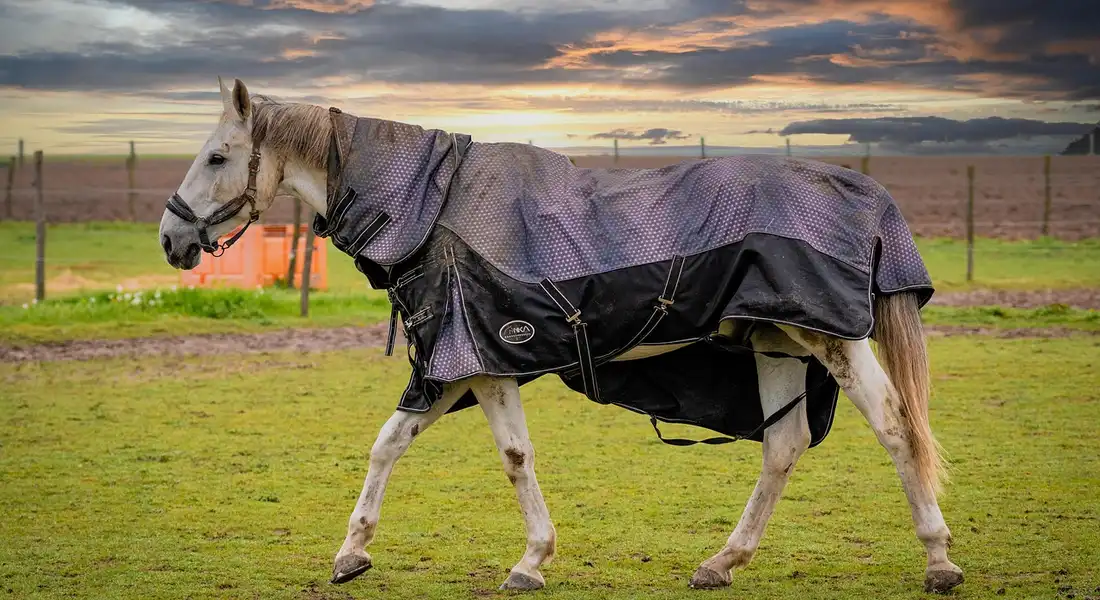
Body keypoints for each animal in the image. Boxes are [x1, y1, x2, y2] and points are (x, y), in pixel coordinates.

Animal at [157, 77, 963, 594]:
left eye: (218, 157)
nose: (170, 237)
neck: (430, 207)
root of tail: (863, 192)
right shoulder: (451, 367)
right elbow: (388, 443)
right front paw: (352, 552)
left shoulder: (480, 363)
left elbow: (514, 456)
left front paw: (531, 560)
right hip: (774, 341)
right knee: (785, 445)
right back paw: (721, 562)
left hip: (830, 339)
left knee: (898, 429)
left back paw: (938, 560)